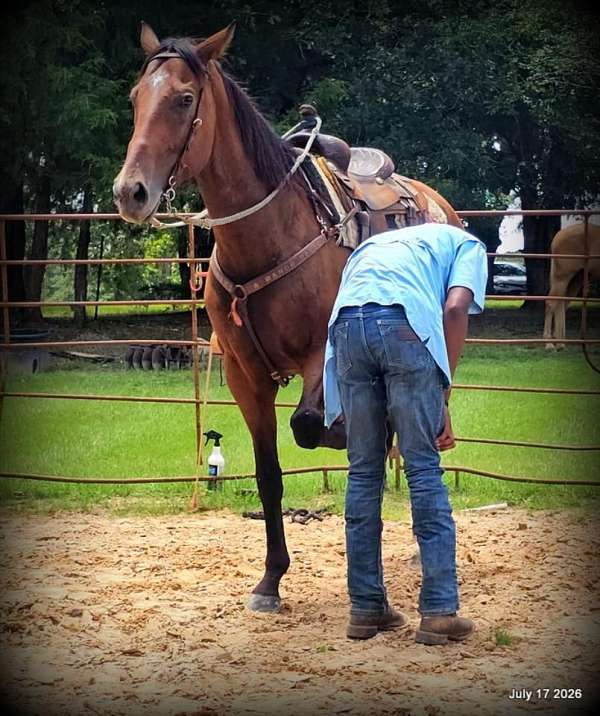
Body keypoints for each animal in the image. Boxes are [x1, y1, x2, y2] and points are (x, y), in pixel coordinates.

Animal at [113, 22, 463, 613]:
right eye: (138, 98)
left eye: (184, 99)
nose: (130, 192)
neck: (269, 236)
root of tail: (443, 209)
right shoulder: (244, 376)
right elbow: (269, 473)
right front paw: (270, 580)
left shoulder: (321, 359)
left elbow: (309, 427)